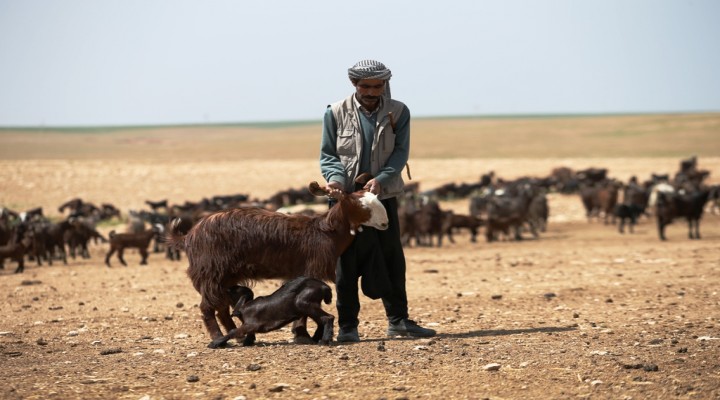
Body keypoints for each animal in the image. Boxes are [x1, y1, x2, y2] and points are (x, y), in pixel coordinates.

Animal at [166, 175, 388, 346]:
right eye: (361, 204)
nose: (385, 223)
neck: (324, 231)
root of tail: (188, 236)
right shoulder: (310, 270)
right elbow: (302, 310)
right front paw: (302, 336)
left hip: (225, 276)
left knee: (221, 307)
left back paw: (236, 336)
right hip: (211, 273)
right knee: (207, 308)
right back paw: (218, 338)